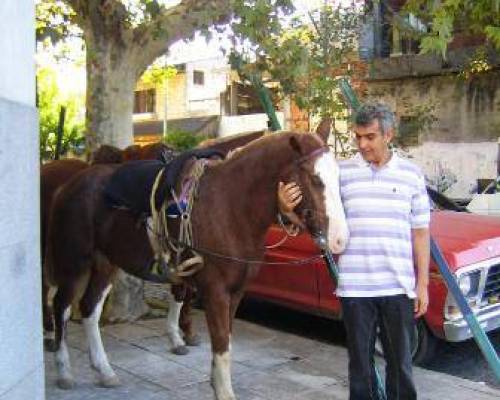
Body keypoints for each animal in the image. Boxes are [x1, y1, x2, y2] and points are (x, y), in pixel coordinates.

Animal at [46, 133, 348, 398]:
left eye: (338, 176)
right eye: (315, 179)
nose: (339, 239)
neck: (230, 206)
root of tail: (67, 185)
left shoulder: (236, 292)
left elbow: (225, 340)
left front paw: (215, 384)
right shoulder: (215, 290)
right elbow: (221, 341)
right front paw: (224, 392)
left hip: (107, 263)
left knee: (90, 309)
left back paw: (104, 371)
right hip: (74, 263)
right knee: (61, 306)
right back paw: (64, 371)